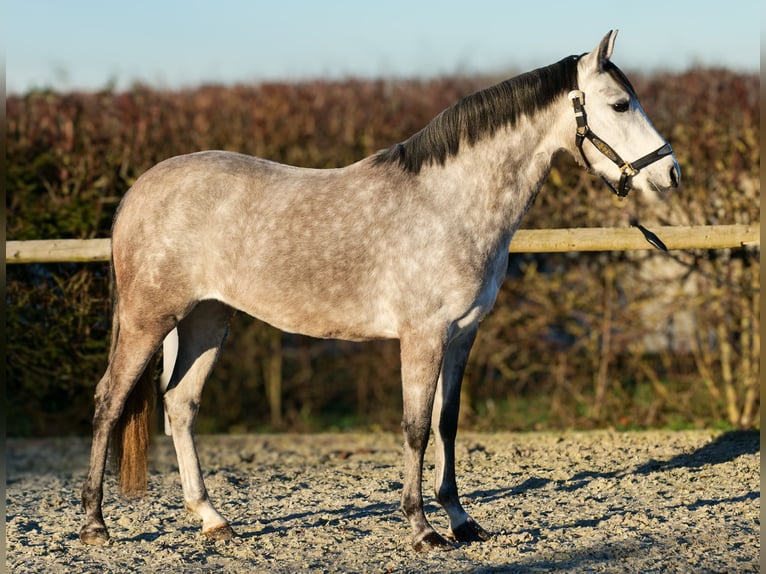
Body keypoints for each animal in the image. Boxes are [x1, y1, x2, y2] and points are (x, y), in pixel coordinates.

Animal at [79, 31, 680, 552]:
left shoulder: (462, 337)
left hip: (207, 317)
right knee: (109, 401)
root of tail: (139, 190)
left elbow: (447, 424)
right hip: (149, 319)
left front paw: (461, 521)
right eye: (620, 104)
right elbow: (415, 429)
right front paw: (422, 529)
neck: (449, 203)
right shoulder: (422, 337)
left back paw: (212, 519)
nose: (671, 174)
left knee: (180, 405)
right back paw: (94, 524)